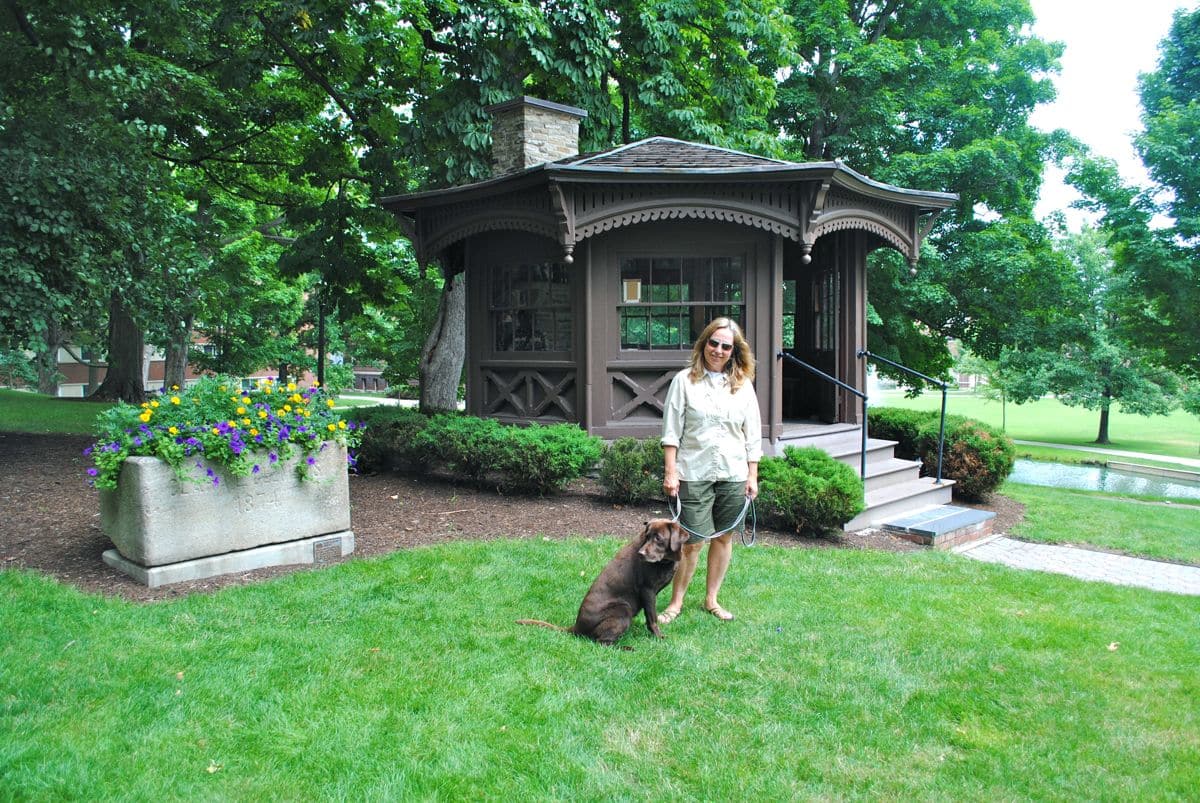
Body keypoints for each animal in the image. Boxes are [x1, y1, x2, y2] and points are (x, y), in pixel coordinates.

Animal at [523, 520, 691, 643]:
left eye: (658, 538)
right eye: (647, 536)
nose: (641, 553)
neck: (666, 561)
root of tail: (577, 627)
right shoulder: (647, 590)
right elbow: (652, 617)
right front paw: (658, 637)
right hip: (623, 609)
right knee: (602, 642)